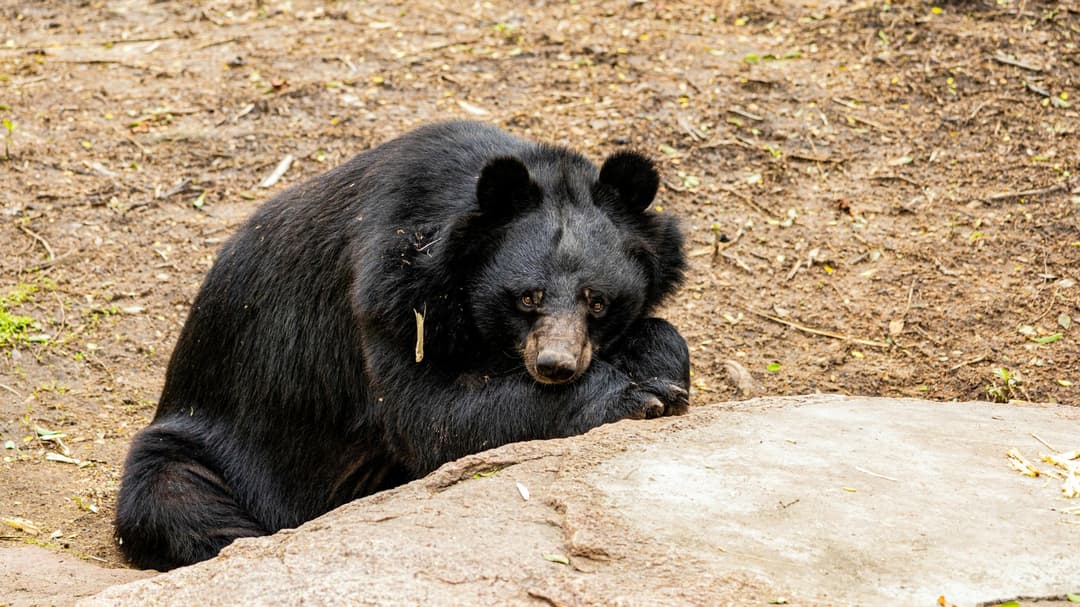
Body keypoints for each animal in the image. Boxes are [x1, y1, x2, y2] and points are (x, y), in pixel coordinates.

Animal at [114, 120, 690, 571]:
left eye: (598, 301)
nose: (555, 366)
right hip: (202, 444)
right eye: (528, 297)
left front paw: (661, 373)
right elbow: (431, 416)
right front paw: (636, 396)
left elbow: (661, 332)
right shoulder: (389, 294)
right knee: (175, 496)